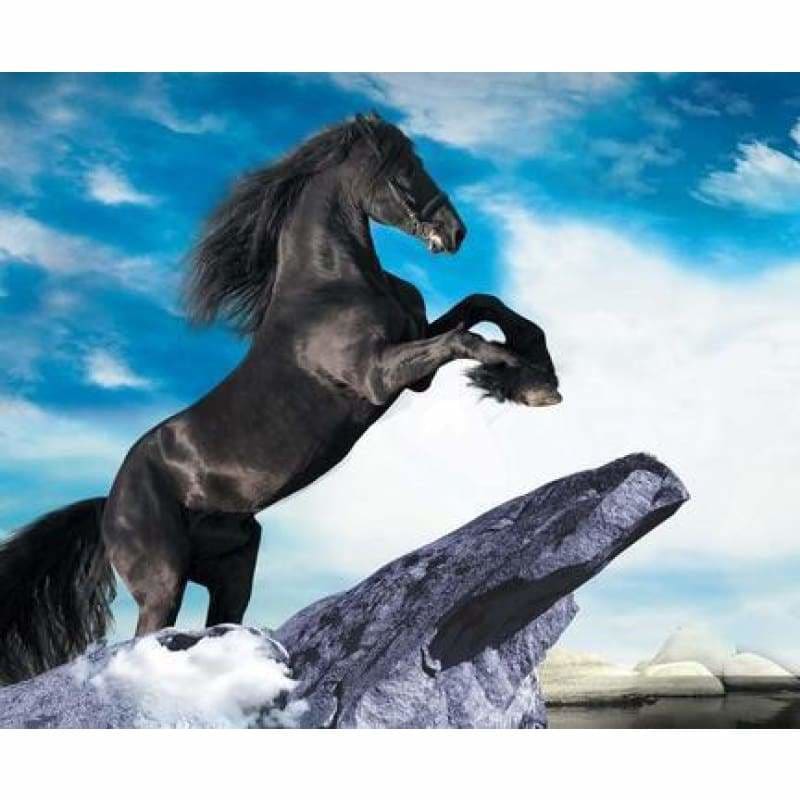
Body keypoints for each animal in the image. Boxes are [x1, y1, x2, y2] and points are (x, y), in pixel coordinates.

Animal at [0, 112, 561, 683]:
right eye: (403, 170)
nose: (455, 233)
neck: (330, 286)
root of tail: (108, 503)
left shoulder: (413, 361)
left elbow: (480, 305)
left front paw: (536, 366)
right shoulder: (378, 375)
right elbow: (464, 339)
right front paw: (527, 382)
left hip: (232, 570)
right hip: (163, 581)